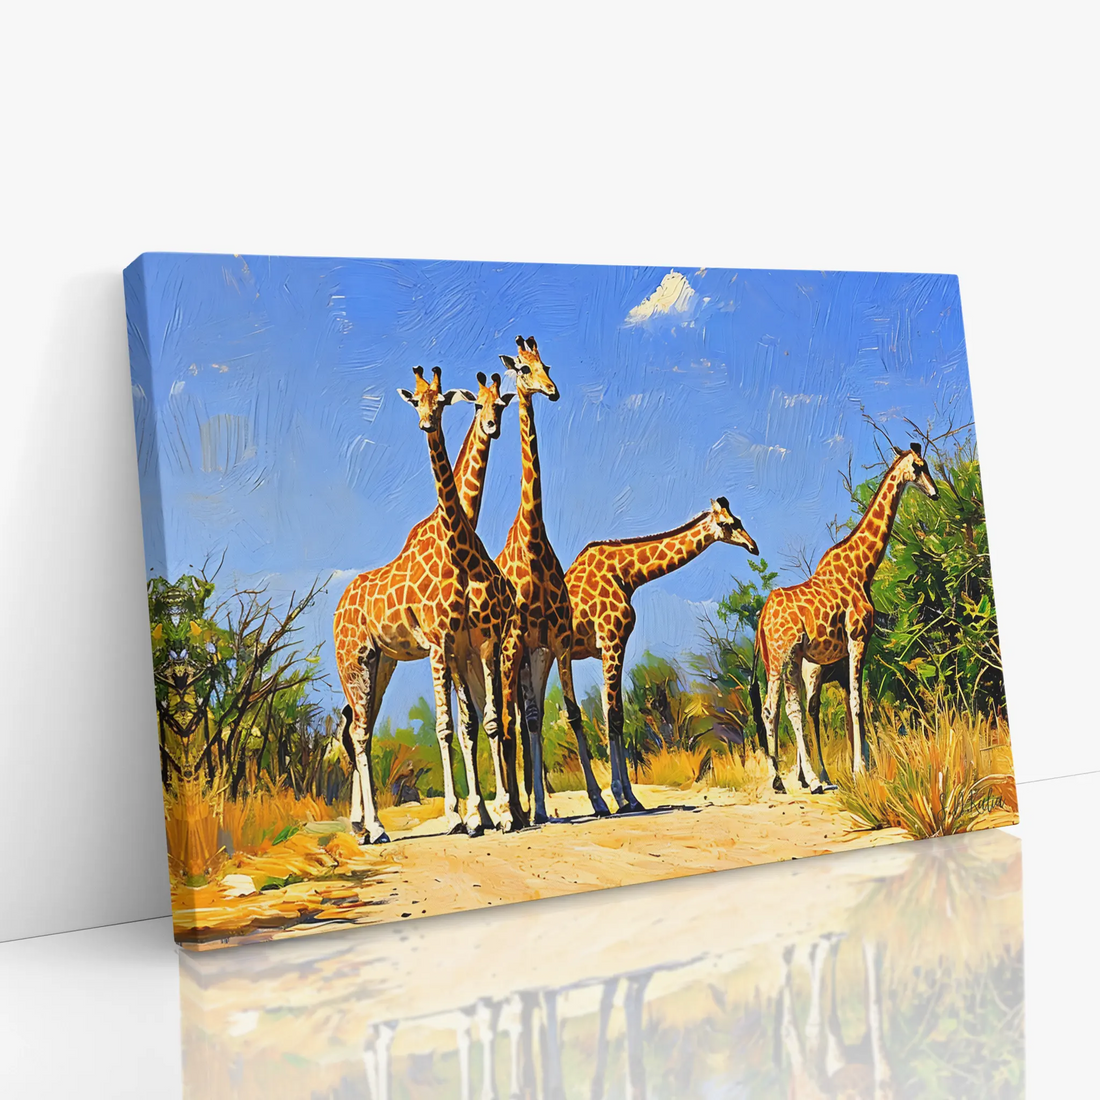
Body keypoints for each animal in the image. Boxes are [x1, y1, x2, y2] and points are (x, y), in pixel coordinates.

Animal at [334, 367, 520, 843]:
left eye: (501, 403)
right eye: (416, 400)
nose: (425, 422)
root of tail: (338, 610)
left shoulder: (473, 642)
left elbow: (484, 720)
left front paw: (496, 815)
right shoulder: (442, 644)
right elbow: (449, 725)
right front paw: (463, 816)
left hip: (380, 663)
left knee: (361, 729)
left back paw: (366, 826)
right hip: (353, 663)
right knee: (357, 732)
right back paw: (373, 826)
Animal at [565, 499, 759, 813]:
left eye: (739, 519)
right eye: (727, 524)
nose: (753, 546)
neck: (627, 574)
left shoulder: (608, 645)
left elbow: (612, 714)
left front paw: (625, 796)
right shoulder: (611, 639)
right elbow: (614, 716)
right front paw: (625, 797)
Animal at [754, 444, 937, 794]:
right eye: (919, 466)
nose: (934, 492)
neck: (863, 568)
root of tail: (763, 617)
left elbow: (855, 703)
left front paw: (859, 769)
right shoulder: (858, 637)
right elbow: (856, 704)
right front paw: (860, 771)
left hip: (785, 659)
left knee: (781, 709)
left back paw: (794, 780)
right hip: (785, 655)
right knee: (782, 709)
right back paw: (798, 780)